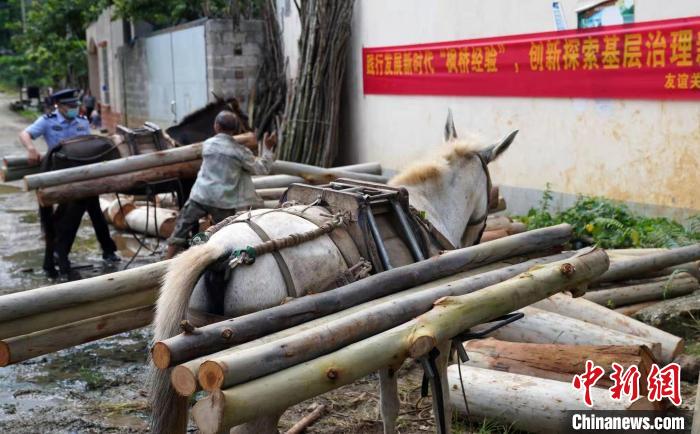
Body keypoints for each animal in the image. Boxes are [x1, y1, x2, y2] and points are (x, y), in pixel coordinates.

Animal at [150, 121, 516, 434]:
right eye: (489, 188)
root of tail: (222, 250)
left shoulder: (391, 341)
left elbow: (389, 406)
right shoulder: (437, 337)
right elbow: (443, 408)